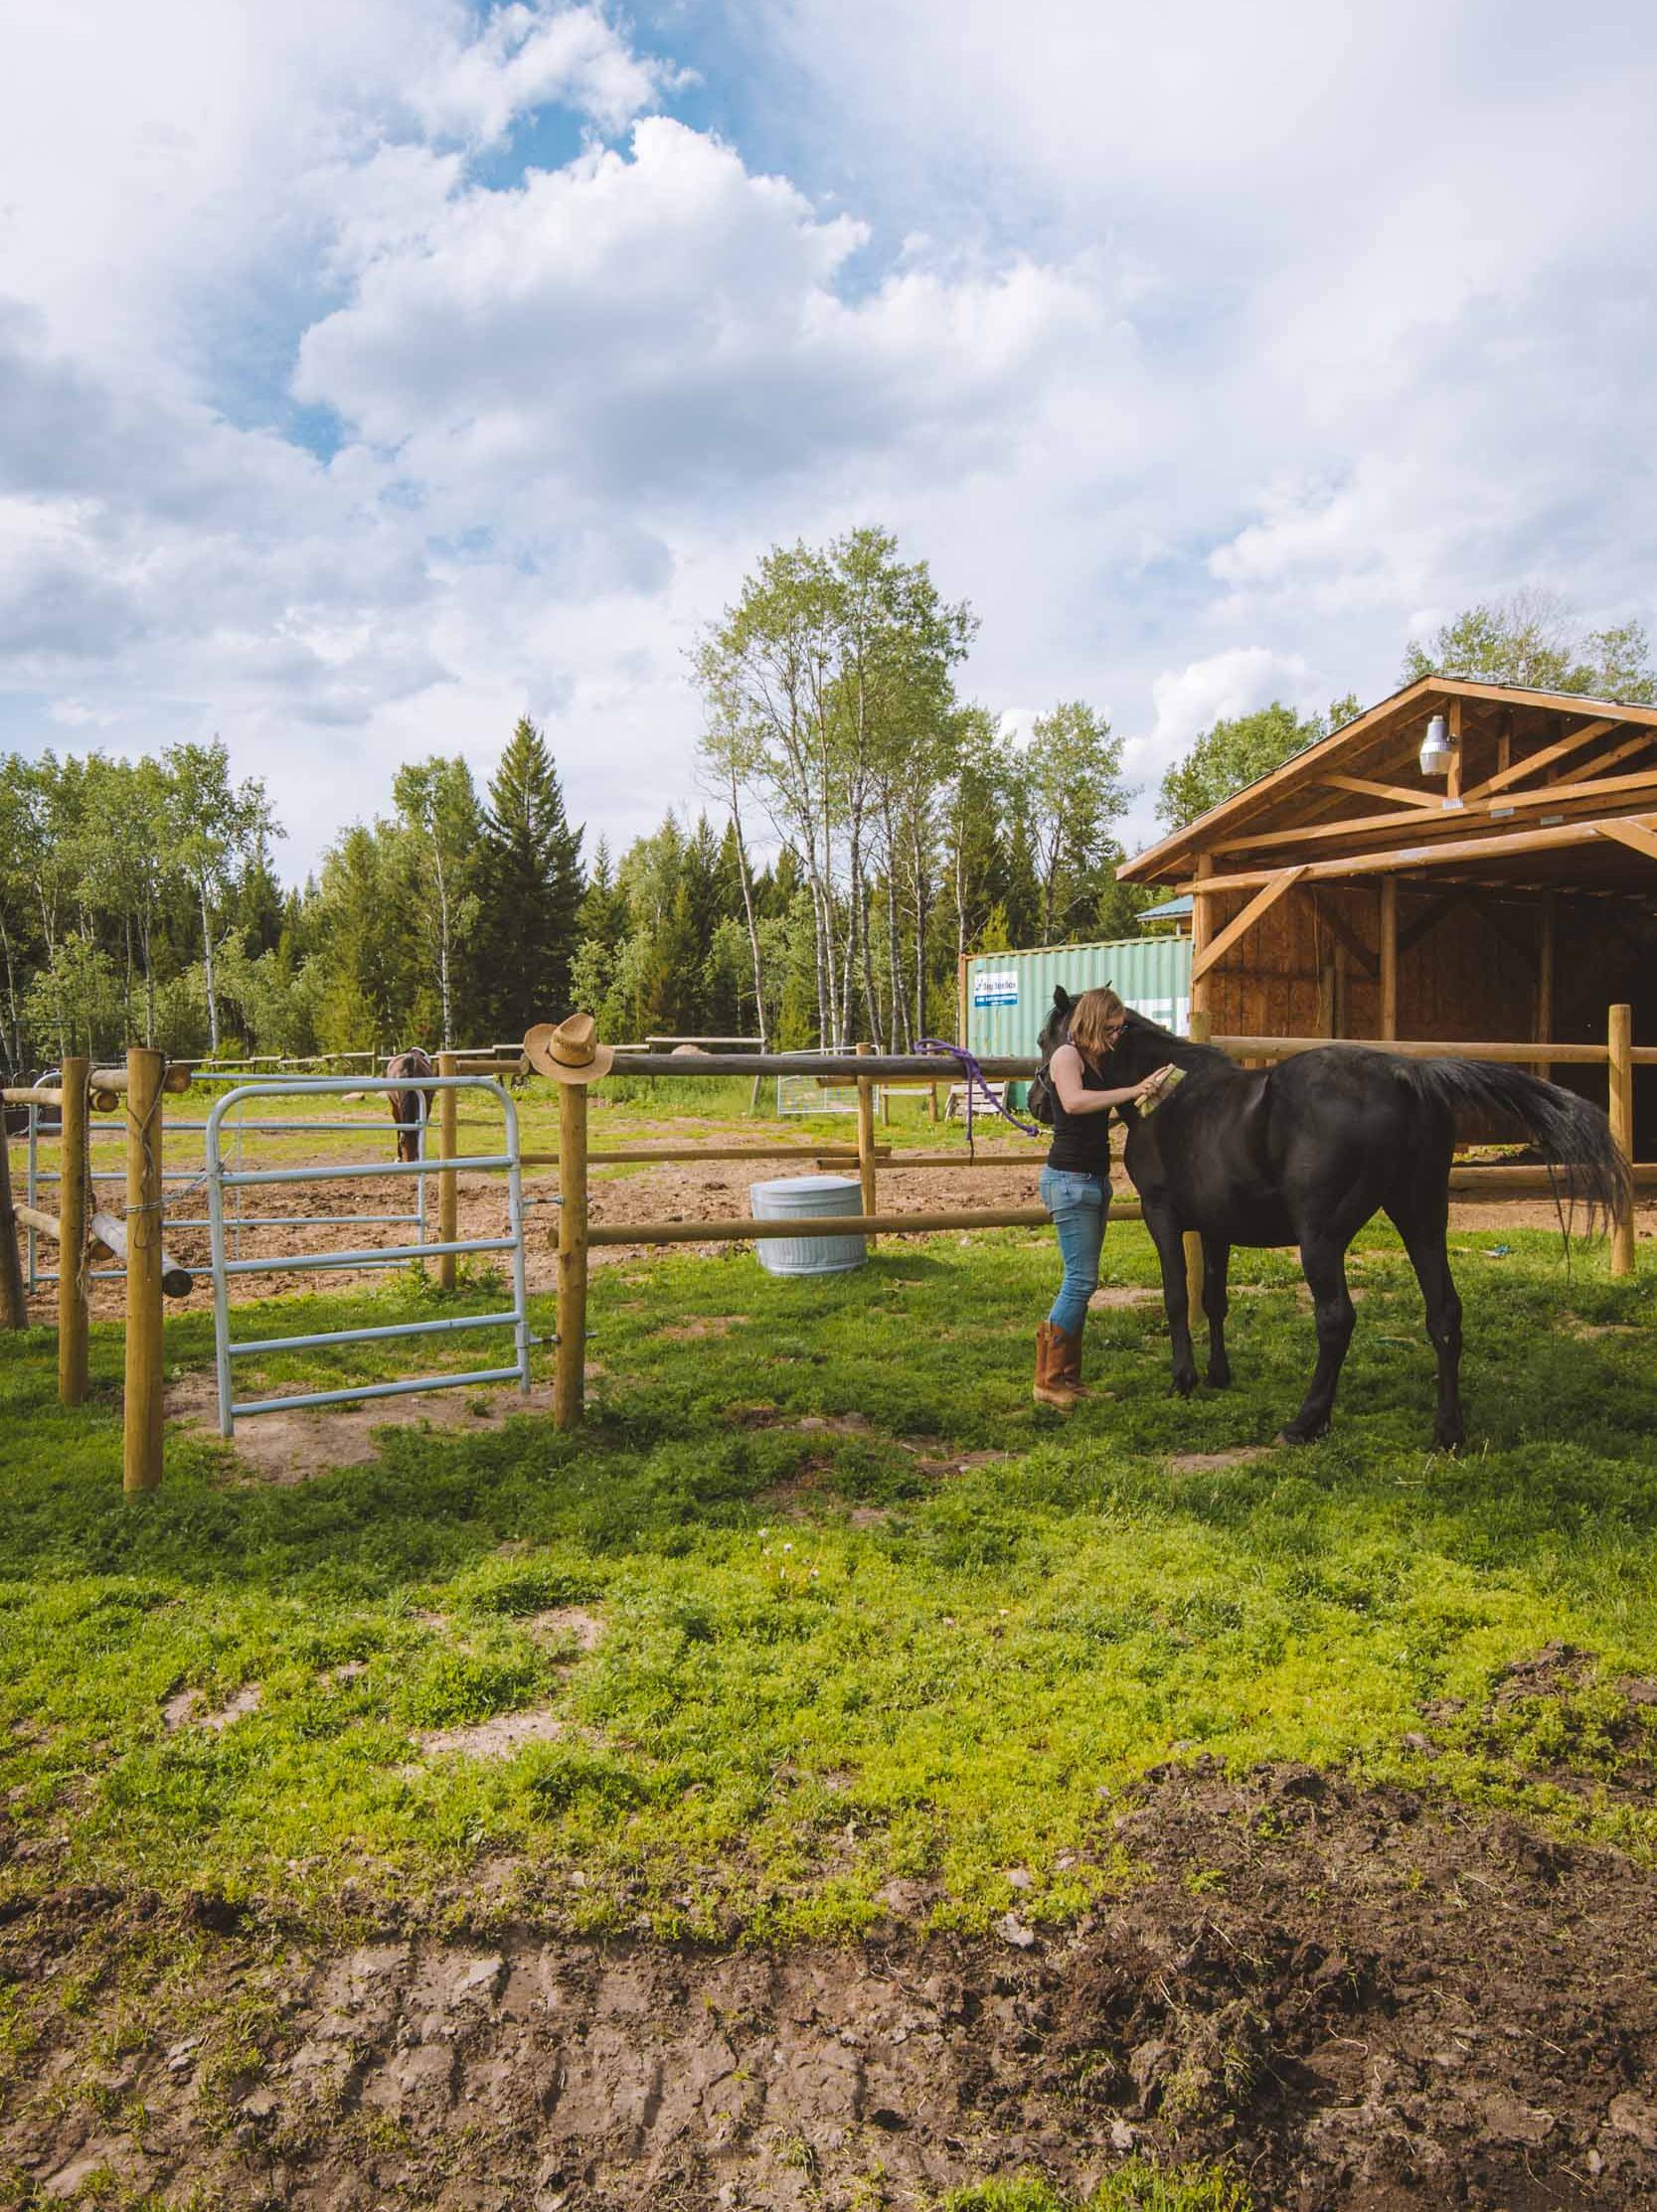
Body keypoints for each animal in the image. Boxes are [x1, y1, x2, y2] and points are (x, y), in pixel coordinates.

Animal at [1040, 991, 1619, 1451]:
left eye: (1049, 1039)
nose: (1042, 1103)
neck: (1169, 1096)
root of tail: (1405, 1074)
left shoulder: (1161, 1215)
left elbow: (1178, 1298)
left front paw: (1183, 1379)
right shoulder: (1216, 1227)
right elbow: (1214, 1300)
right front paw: (1219, 1375)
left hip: (1321, 1239)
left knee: (1336, 1319)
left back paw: (1306, 1422)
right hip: (1422, 1220)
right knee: (1444, 1314)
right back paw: (1447, 1431)